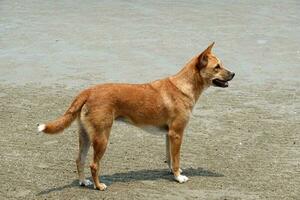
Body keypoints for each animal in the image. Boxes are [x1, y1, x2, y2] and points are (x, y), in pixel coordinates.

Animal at [37, 42, 234, 191]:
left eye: (221, 65)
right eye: (217, 67)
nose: (233, 73)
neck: (183, 86)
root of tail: (88, 91)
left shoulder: (168, 135)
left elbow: (170, 157)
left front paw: (172, 173)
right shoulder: (177, 133)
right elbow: (176, 159)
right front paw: (179, 177)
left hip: (85, 135)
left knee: (80, 160)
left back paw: (83, 182)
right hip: (102, 137)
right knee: (94, 165)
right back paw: (98, 186)